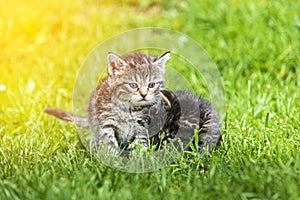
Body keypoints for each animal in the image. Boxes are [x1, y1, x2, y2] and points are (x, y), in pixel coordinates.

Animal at [44, 50, 220, 155]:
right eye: (133, 85)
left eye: (151, 85)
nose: (143, 94)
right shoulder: (106, 121)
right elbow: (108, 140)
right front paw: (112, 158)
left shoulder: (142, 124)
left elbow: (140, 142)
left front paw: (139, 157)